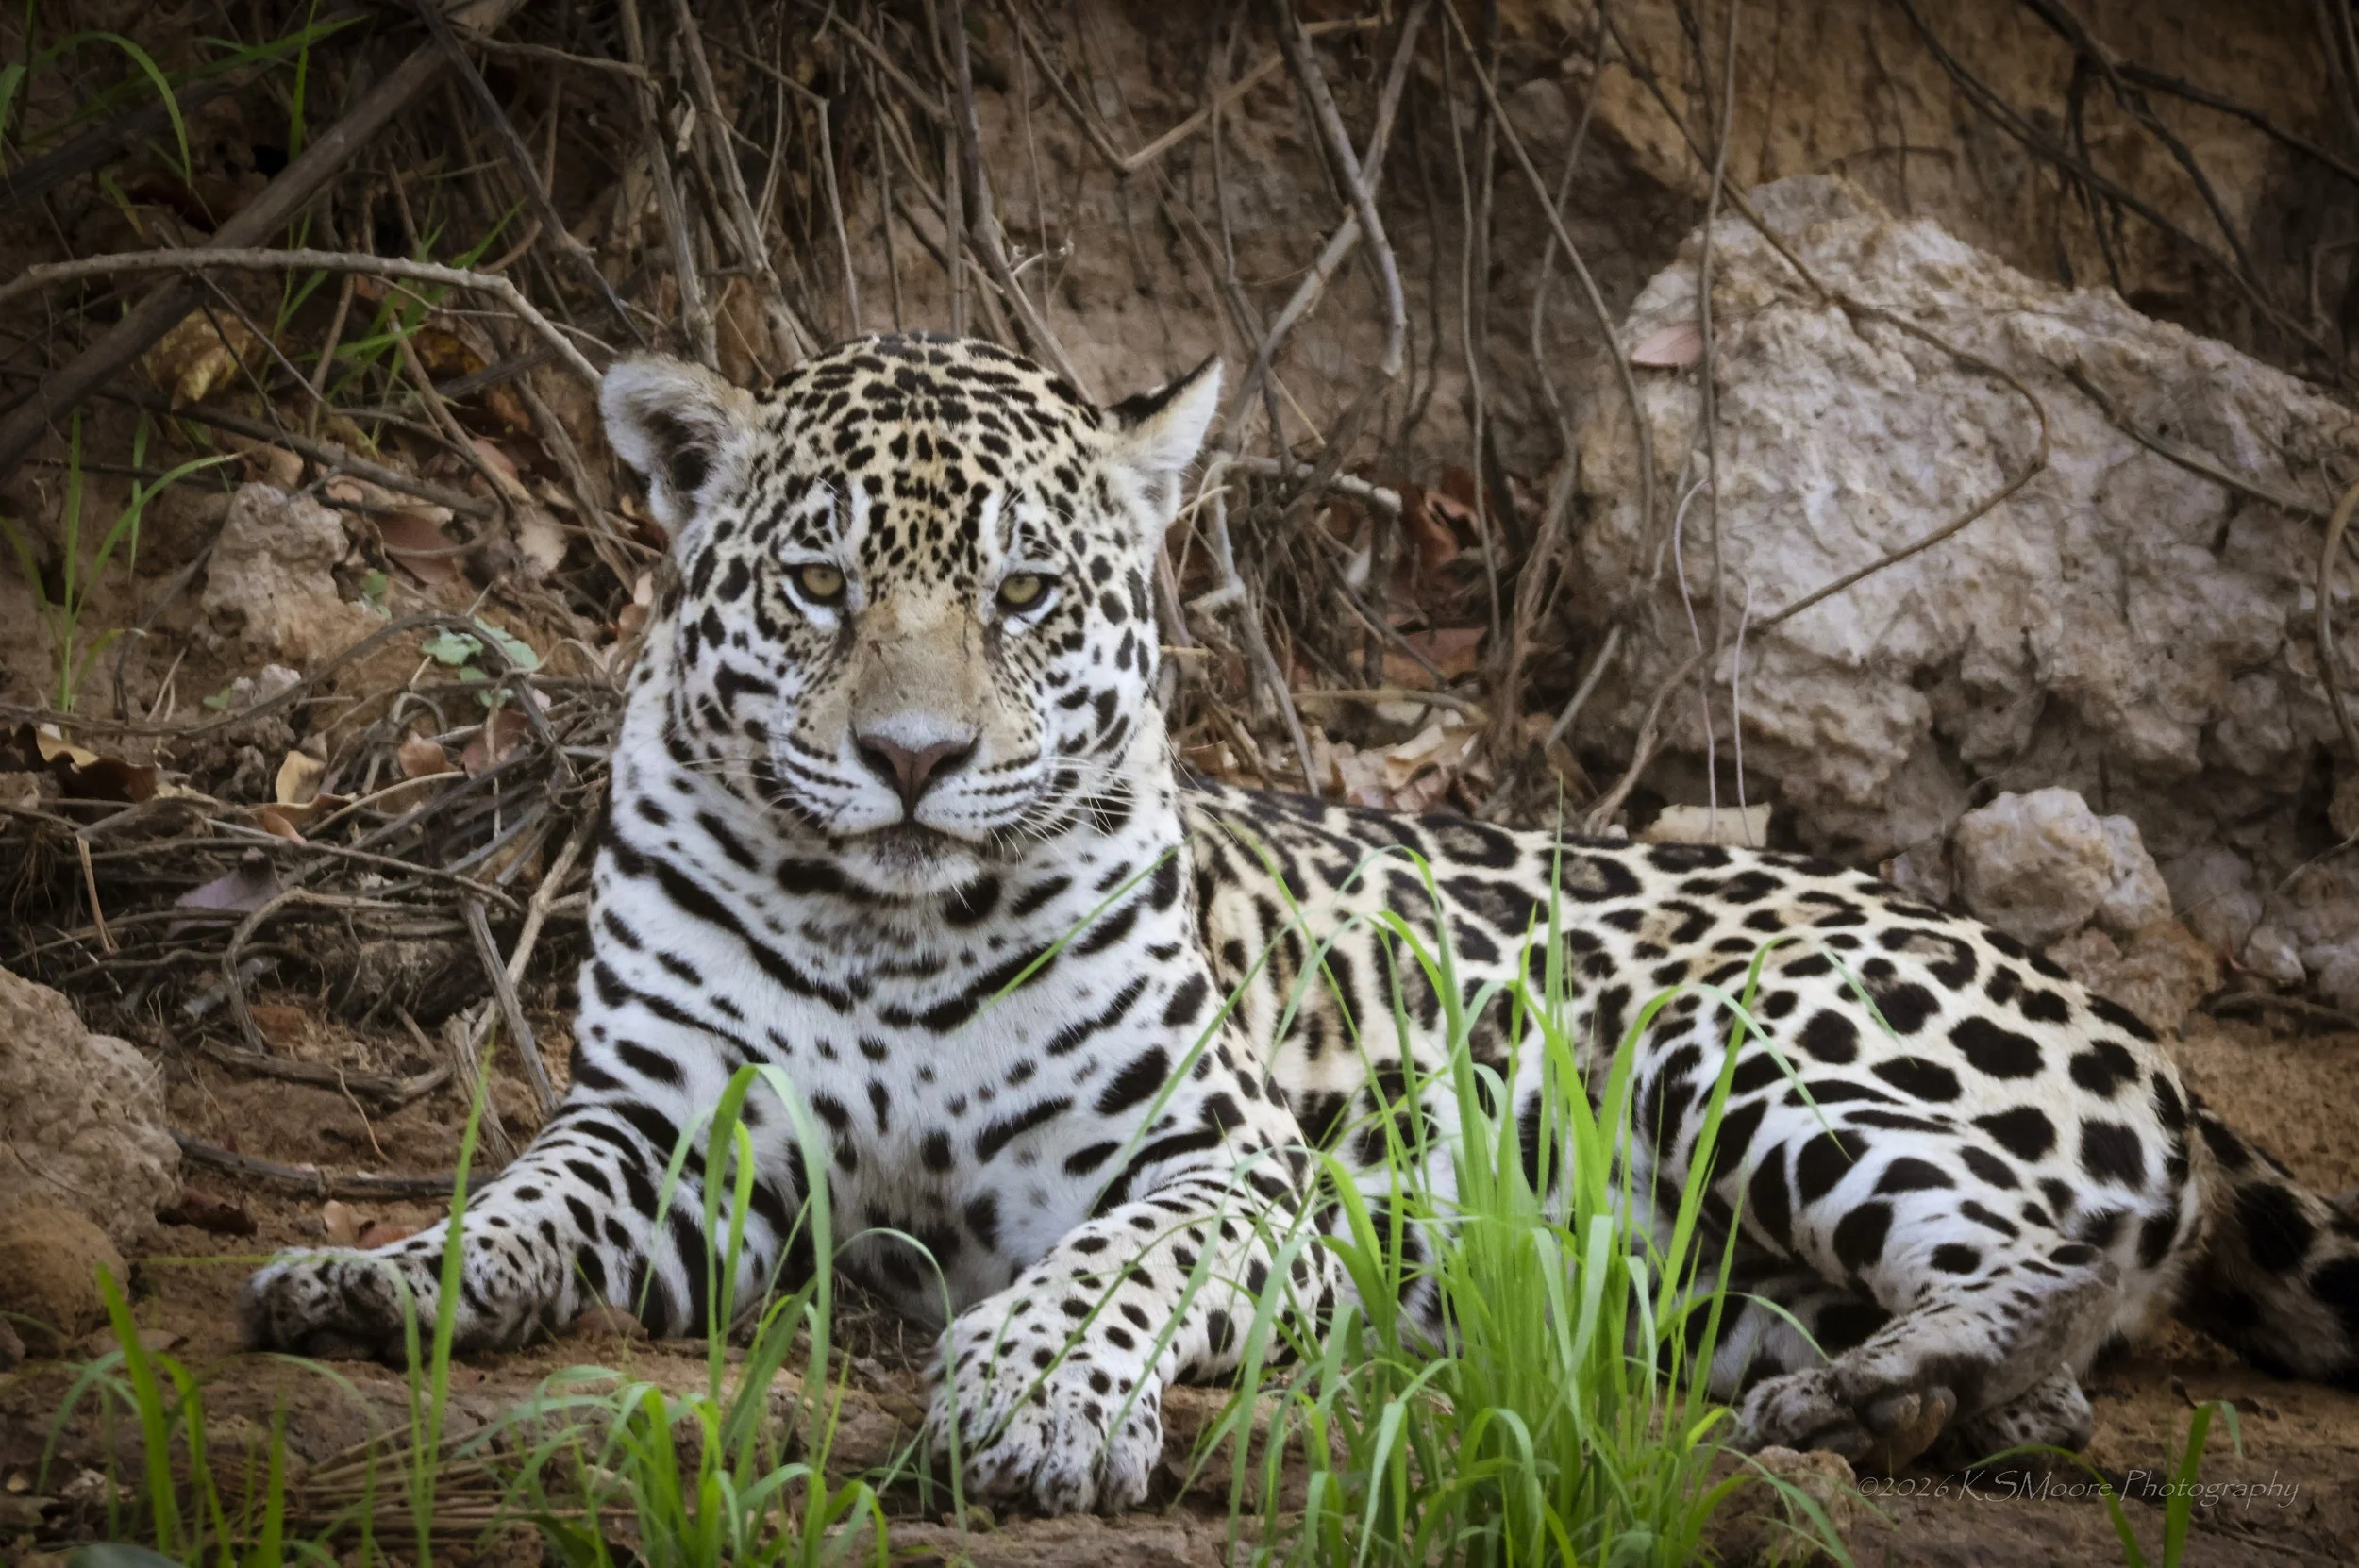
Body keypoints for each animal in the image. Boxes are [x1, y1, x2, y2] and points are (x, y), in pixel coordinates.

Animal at [241, 331, 2359, 1515]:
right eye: (821, 584)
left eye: (1022, 591)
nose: (915, 760)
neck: (890, 933)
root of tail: (2139, 1027)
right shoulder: (676, 1135)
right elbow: (528, 1198)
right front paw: (379, 1273)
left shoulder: (1233, 1167)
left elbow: (1111, 1265)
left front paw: (1030, 1396)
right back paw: (1851, 1386)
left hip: (1738, 1029)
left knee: (2046, 1269)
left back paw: (1881, 1395)